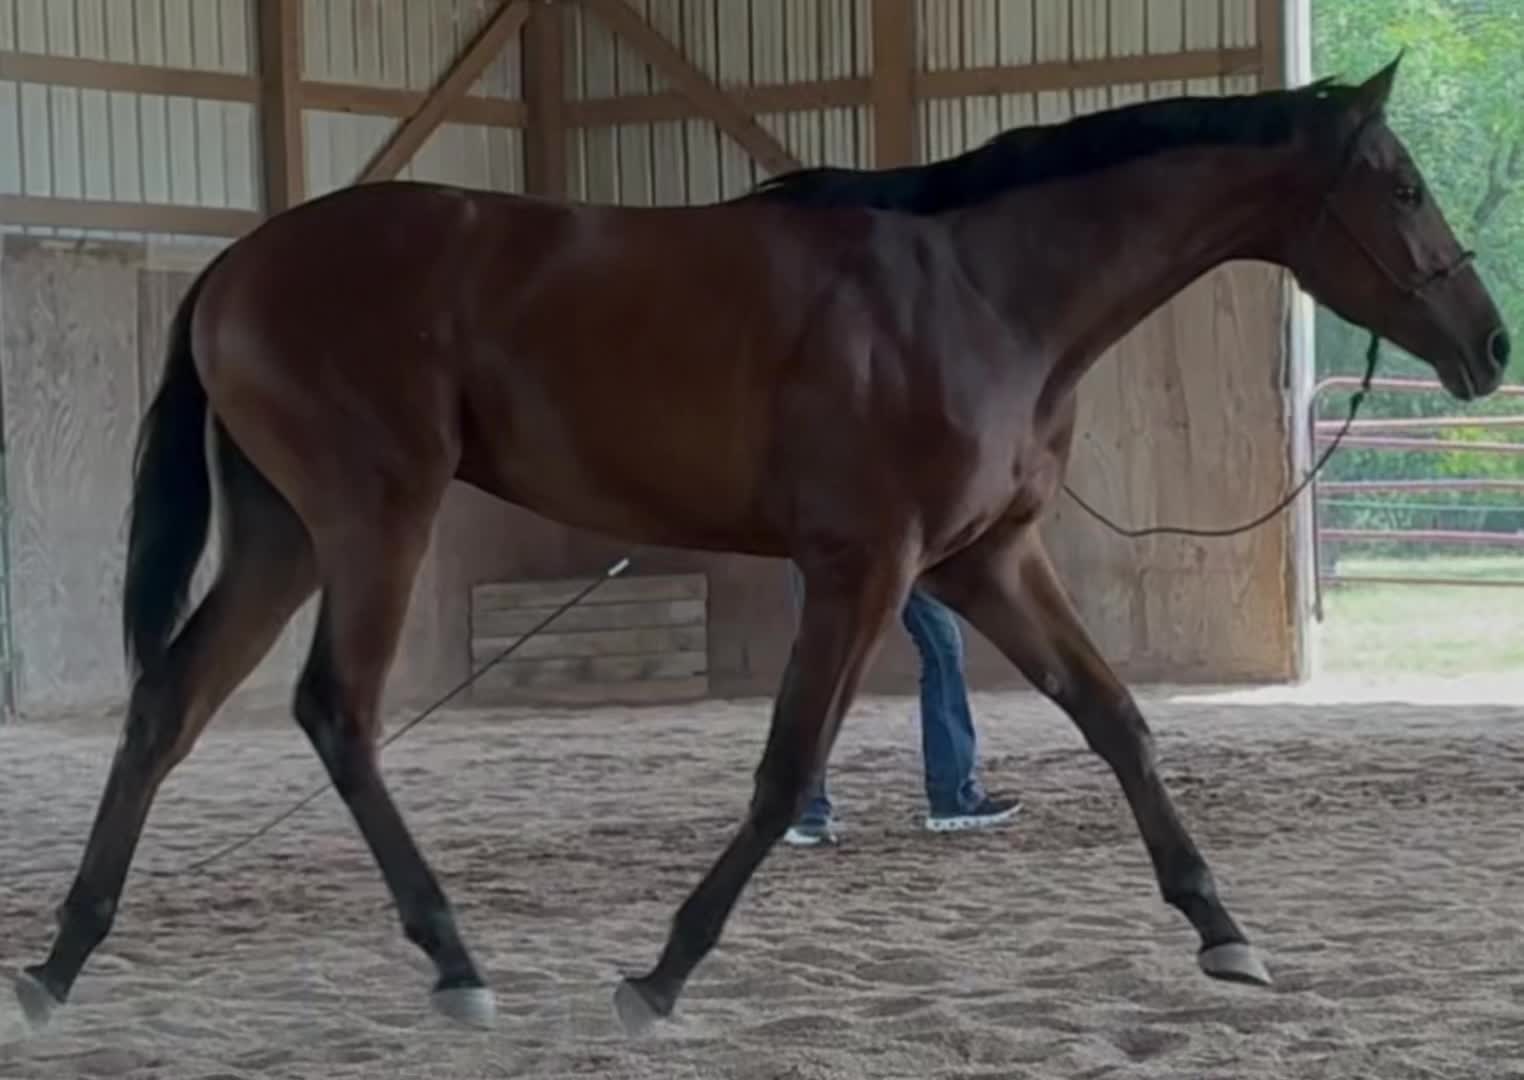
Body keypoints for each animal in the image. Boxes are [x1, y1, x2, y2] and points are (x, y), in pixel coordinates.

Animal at [6, 56, 1506, 1039]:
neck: (980, 289)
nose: (1490, 345)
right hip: (375, 515)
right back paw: (452, 959)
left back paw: (64, 960)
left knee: (170, 704)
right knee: (335, 711)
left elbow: (1118, 720)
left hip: (284, 534)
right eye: (1401, 182)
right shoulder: (866, 568)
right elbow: (786, 772)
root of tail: (234, 263)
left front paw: (1226, 935)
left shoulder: (985, 562)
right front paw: (659, 973)